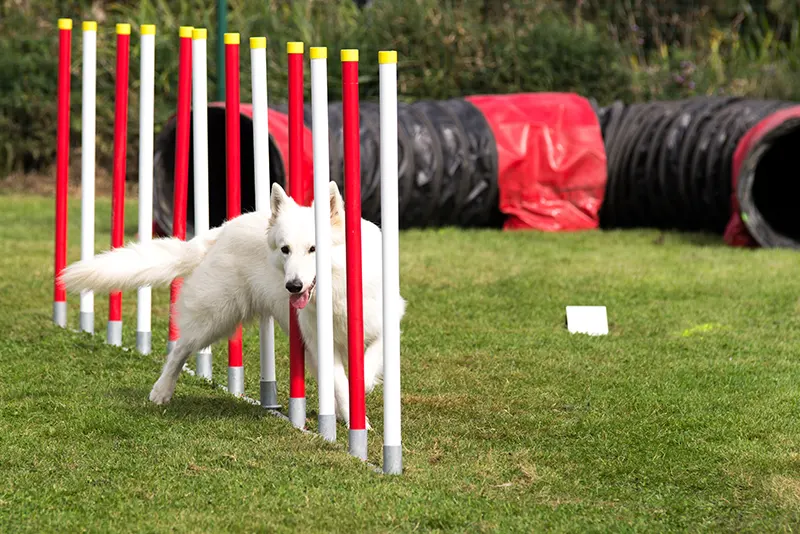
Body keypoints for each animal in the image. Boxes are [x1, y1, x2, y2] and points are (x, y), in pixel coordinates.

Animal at [61, 182, 406, 430]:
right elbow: (343, 385)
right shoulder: (320, 342)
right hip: (215, 318)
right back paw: (162, 391)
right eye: (285, 250)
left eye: (313, 249)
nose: (293, 286)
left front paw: (358, 398)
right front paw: (355, 420)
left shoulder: (384, 325)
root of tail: (221, 230)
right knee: (178, 349)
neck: (338, 288)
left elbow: (366, 365)